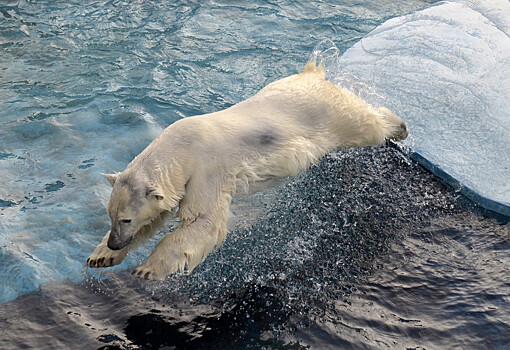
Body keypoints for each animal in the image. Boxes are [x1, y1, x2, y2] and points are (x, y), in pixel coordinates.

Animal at [85, 59, 408, 278]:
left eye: (125, 219)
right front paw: (100, 257)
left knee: (367, 126)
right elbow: (156, 218)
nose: (115, 243)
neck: (180, 148)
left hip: (330, 117)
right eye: (111, 215)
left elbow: (203, 221)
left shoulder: (206, 171)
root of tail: (313, 75)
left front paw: (147, 268)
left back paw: (400, 127)